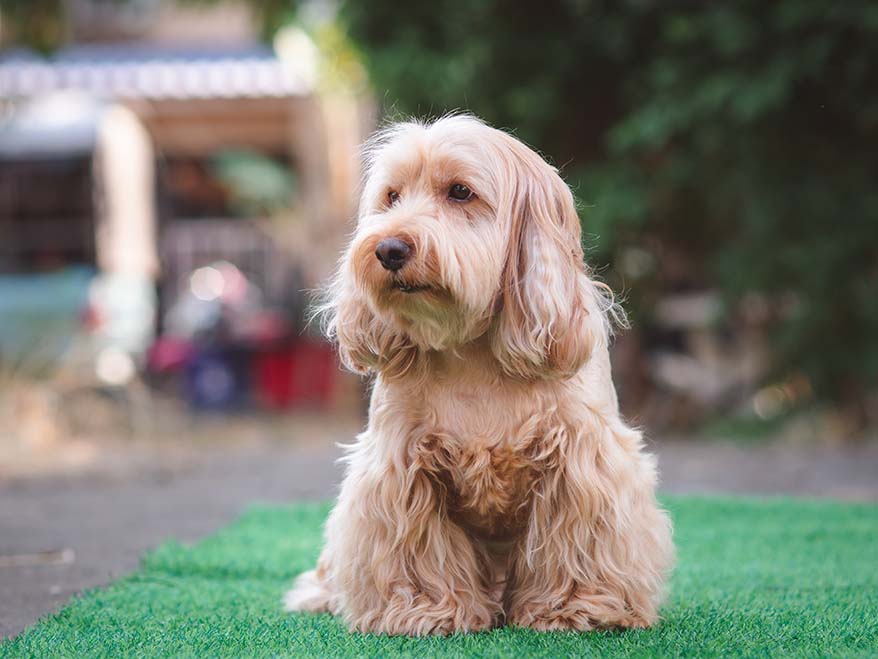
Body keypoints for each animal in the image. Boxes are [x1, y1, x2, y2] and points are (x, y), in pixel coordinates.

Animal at [286, 116, 676, 636]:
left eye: (460, 192)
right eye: (392, 196)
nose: (388, 248)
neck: (471, 354)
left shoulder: (581, 462)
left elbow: (575, 542)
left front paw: (576, 607)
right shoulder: (400, 467)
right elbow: (417, 548)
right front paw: (423, 610)